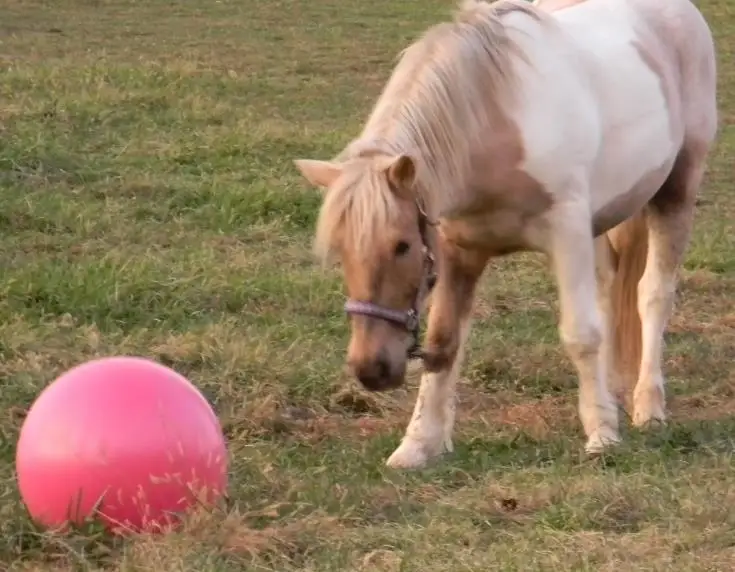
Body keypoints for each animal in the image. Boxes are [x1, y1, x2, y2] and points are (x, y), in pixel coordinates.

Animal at [294, 0, 718, 469]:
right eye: (340, 252)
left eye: (402, 245)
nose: (370, 369)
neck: (493, 124)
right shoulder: (459, 250)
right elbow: (443, 344)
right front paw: (418, 445)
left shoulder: (566, 233)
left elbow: (581, 334)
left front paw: (602, 436)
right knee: (609, 294)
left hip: (675, 192)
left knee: (653, 296)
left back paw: (648, 408)